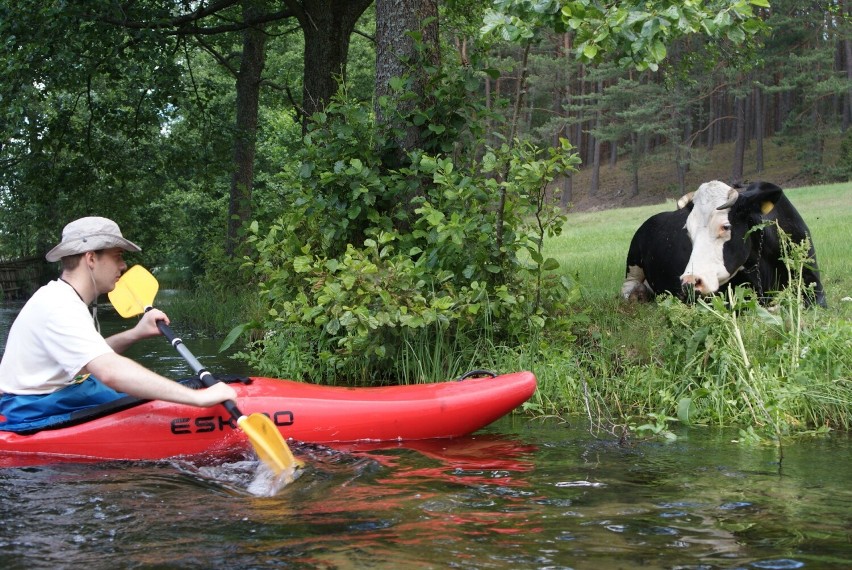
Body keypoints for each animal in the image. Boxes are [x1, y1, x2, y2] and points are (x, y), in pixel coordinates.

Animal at [624, 181, 828, 306]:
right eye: (688, 230)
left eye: (725, 226)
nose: (690, 282)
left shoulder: (813, 282)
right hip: (633, 261)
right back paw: (637, 294)